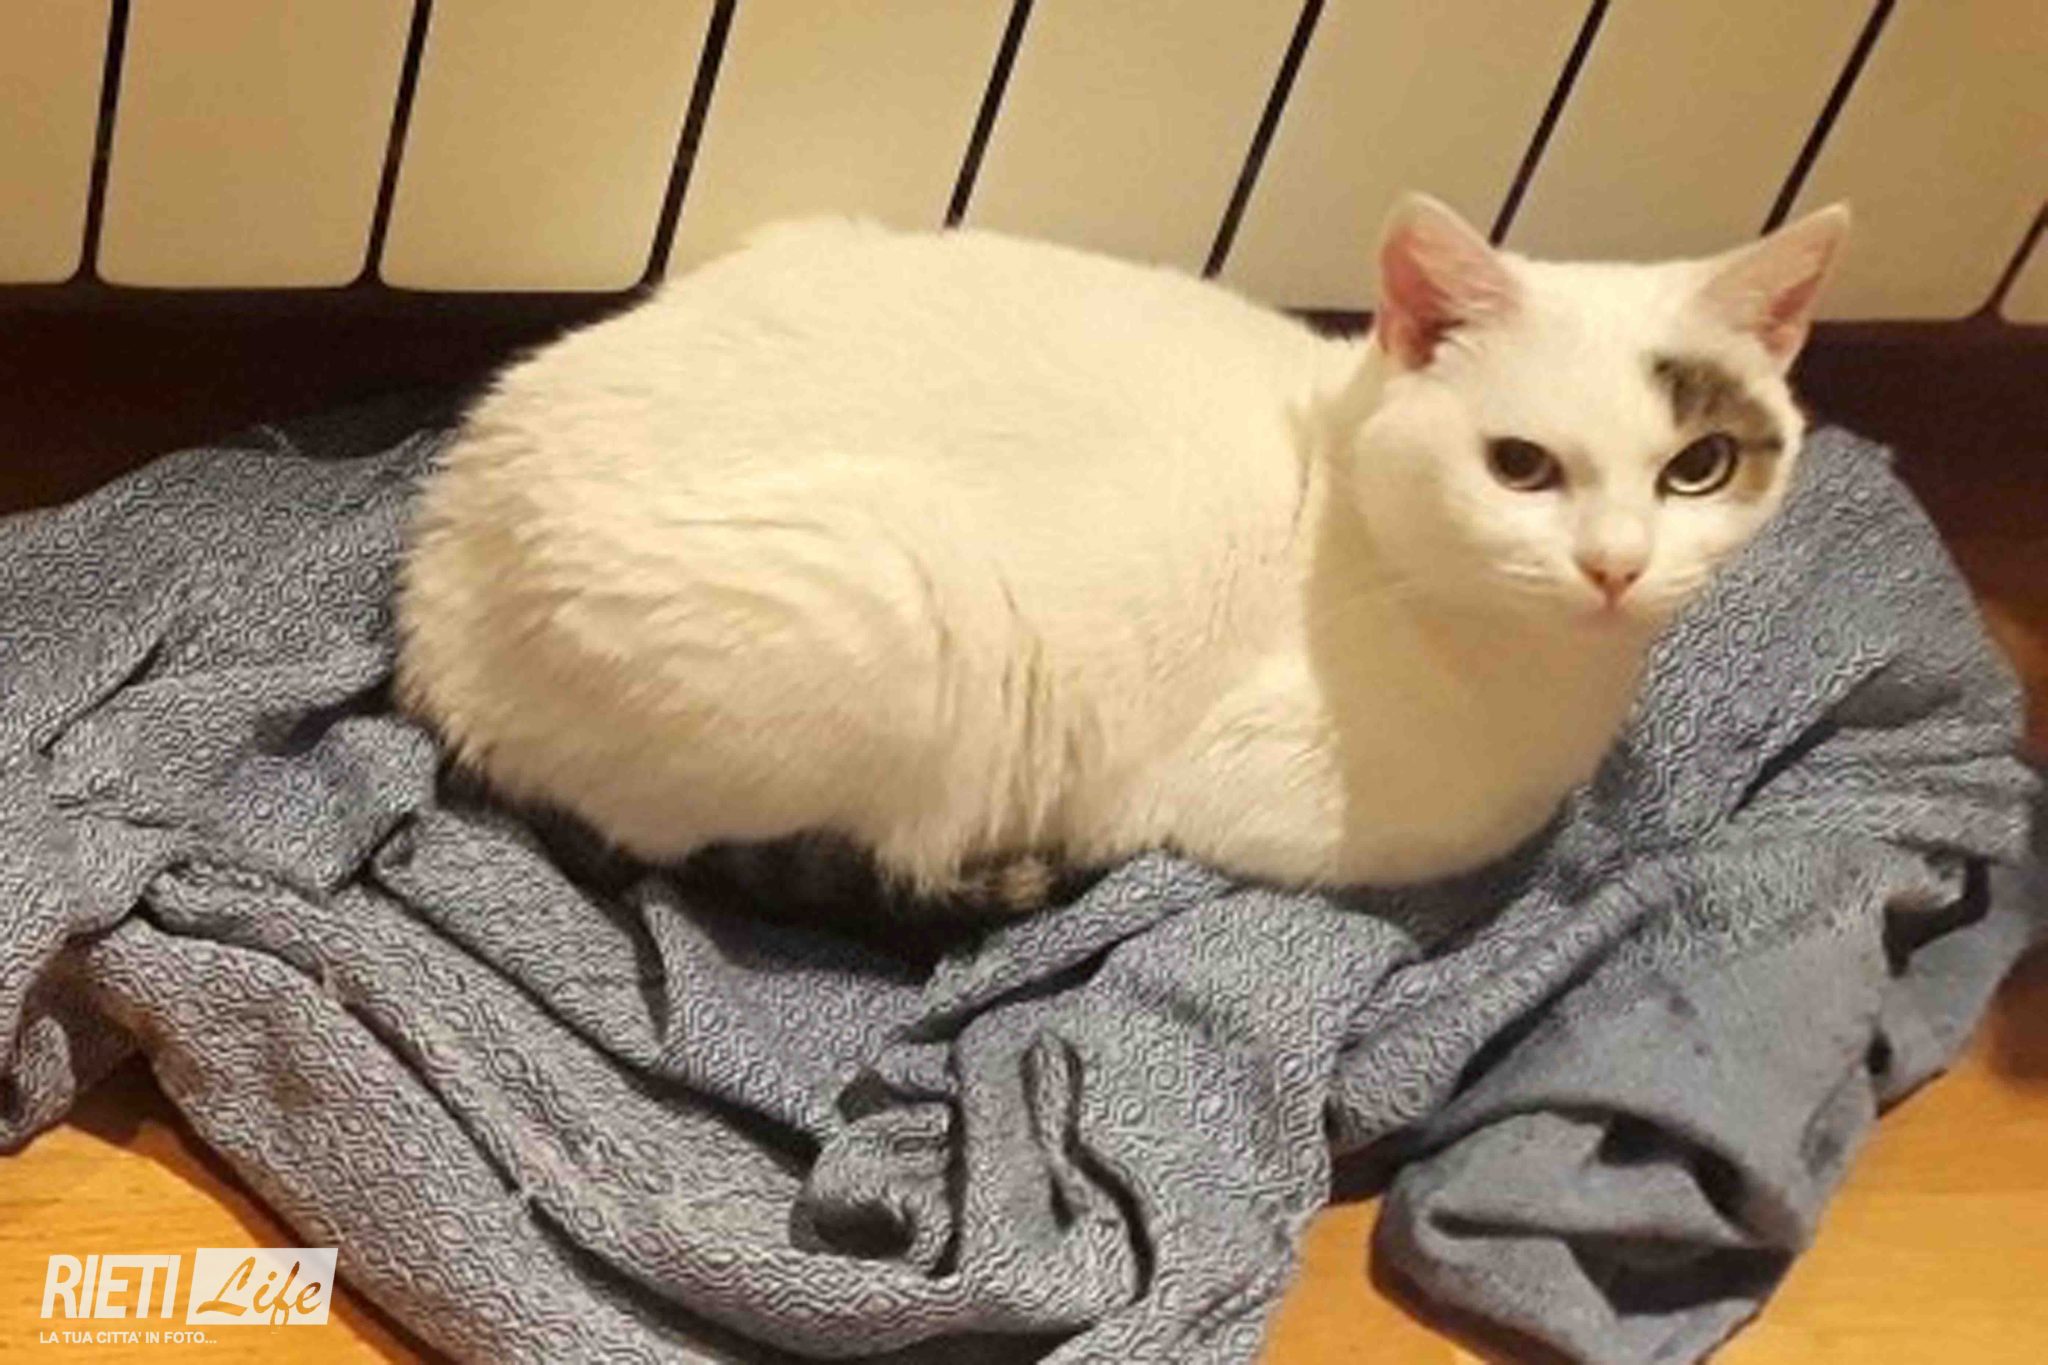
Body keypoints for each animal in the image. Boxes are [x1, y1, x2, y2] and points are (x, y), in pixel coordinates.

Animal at [396, 194, 1849, 910]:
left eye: (1697, 466)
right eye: (1521, 466)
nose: (1614, 565)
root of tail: (436, 582)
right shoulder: (1246, 791)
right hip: (904, 615)